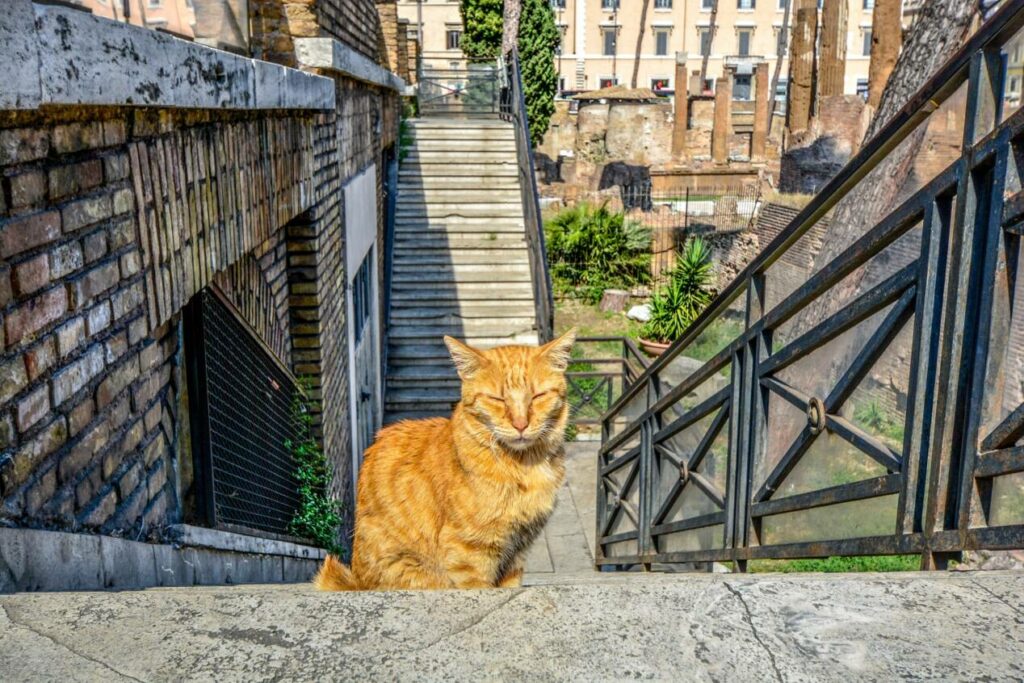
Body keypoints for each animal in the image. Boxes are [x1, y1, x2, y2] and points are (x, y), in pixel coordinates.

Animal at [317, 327, 577, 589]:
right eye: (497, 399)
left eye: (538, 396)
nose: (521, 424)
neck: (524, 464)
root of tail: (355, 580)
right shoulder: (469, 553)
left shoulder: (516, 552)